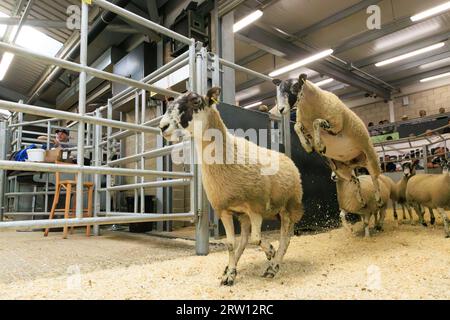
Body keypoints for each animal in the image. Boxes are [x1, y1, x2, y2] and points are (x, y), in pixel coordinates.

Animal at [157, 87, 302, 284]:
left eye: (195, 101)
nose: (162, 126)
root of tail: (288, 158)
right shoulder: (224, 210)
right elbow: (231, 244)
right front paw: (230, 274)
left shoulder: (256, 208)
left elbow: (257, 239)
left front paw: (270, 251)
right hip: (246, 215)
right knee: (246, 238)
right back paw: (233, 267)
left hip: (288, 206)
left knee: (285, 237)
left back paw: (273, 266)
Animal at [274, 73, 384, 208]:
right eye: (278, 89)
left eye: (295, 86)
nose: (280, 109)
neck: (310, 108)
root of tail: (356, 163)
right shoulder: (305, 127)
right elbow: (296, 126)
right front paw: (308, 146)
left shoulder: (336, 126)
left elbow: (317, 122)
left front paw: (320, 146)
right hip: (342, 169)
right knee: (356, 180)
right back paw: (361, 201)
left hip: (371, 159)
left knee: (375, 178)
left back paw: (379, 200)